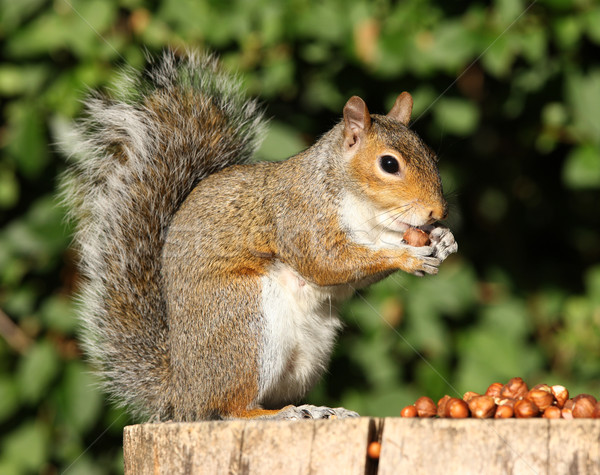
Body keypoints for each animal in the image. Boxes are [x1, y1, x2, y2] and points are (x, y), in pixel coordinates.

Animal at [63, 48, 458, 422]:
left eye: (431, 154)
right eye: (389, 164)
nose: (437, 212)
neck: (366, 212)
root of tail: (183, 394)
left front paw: (442, 239)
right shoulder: (300, 216)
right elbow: (326, 262)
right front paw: (406, 256)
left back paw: (317, 409)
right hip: (246, 325)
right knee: (228, 408)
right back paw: (285, 414)